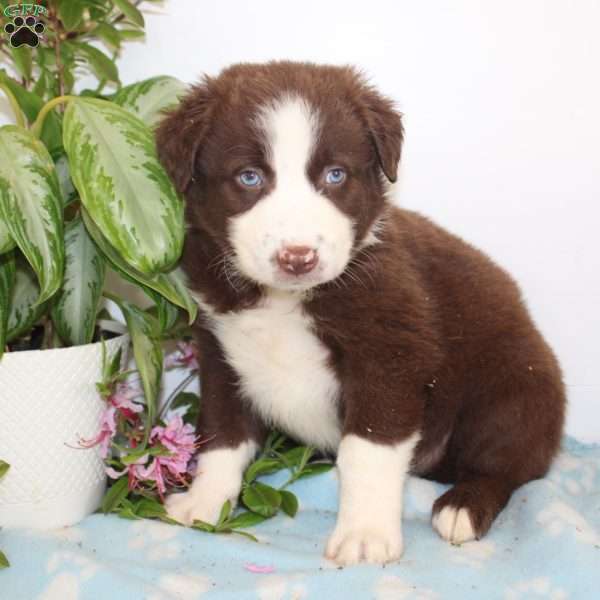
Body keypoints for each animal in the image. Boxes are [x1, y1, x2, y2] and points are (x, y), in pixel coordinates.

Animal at [156, 62, 568, 568]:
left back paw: (464, 505)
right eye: (249, 178)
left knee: (508, 464)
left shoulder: (389, 356)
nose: (298, 258)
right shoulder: (220, 351)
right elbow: (221, 432)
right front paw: (206, 500)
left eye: (335, 175)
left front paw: (365, 534)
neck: (285, 299)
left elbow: (366, 451)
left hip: (514, 388)